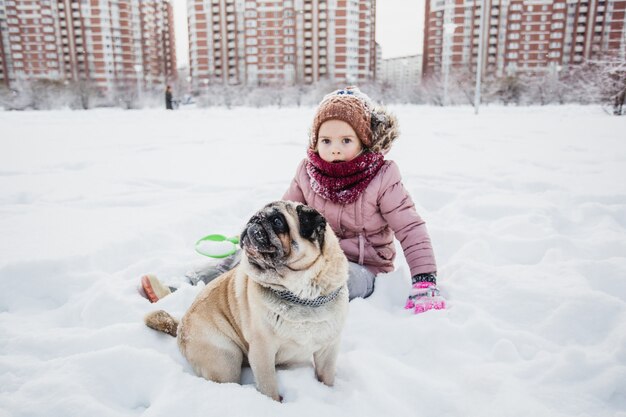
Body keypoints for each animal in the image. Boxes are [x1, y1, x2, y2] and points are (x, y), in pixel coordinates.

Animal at [147, 200, 352, 402]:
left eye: (277, 221)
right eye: (255, 216)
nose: (254, 220)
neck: (303, 295)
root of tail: (180, 326)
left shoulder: (328, 350)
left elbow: (327, 377)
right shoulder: (263, 352)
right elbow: (268, 386)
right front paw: (273, 403)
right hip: (226, 358)